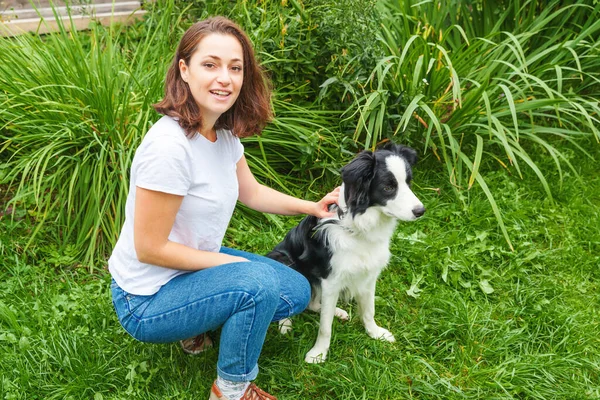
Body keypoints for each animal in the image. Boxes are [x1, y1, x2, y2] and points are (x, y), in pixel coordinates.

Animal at [268, 142, 426, 364]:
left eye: (408, 182)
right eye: (388, 187)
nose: (421, 211)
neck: (360, 228)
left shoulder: (369, 276)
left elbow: (368, 310)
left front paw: (375, 333)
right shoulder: (331, 280)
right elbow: (325, 328)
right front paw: (318, 353)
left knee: (314, 304)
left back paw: (337, 311)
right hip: (283, 260)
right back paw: (285, 324)